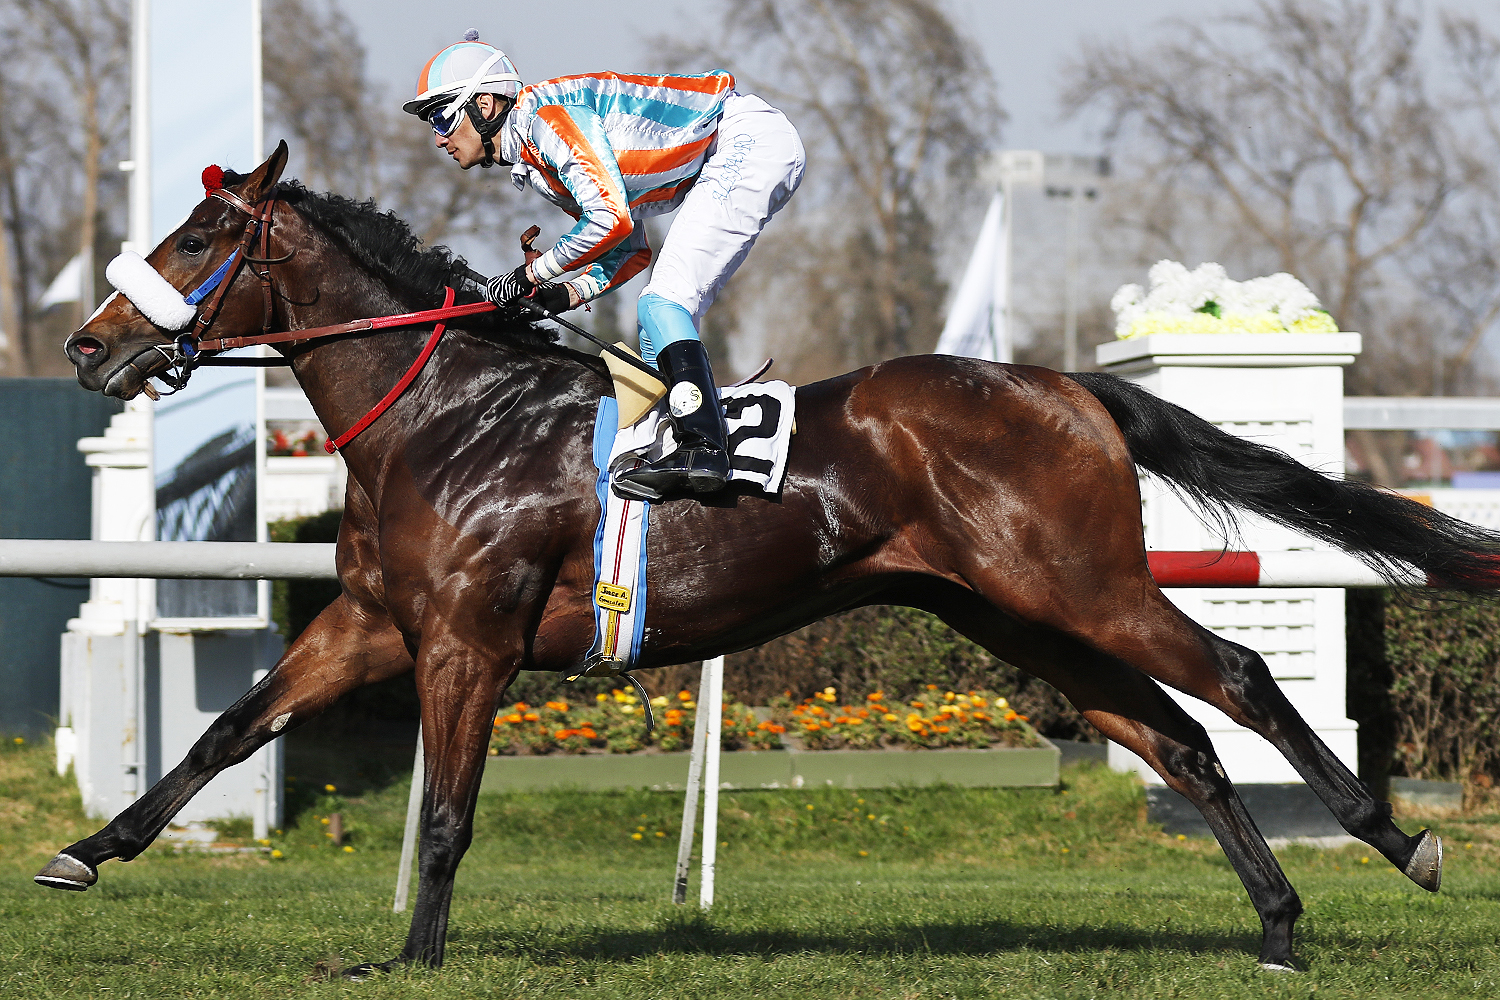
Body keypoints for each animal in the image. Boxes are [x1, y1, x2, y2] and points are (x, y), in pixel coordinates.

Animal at [40, 141, 1498, 975]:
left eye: (192, 240)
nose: (88, 346)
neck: (447, 412)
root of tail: (1066, 383)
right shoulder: (374, 622)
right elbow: (225, 731)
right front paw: (88, 852)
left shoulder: (467, 641)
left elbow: (447, 812)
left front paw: (410, 959)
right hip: (1016, 616)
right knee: (1177, 738)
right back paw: (1279, 926)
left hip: (1082, 586)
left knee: (1241, 674)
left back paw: (1397, 843)